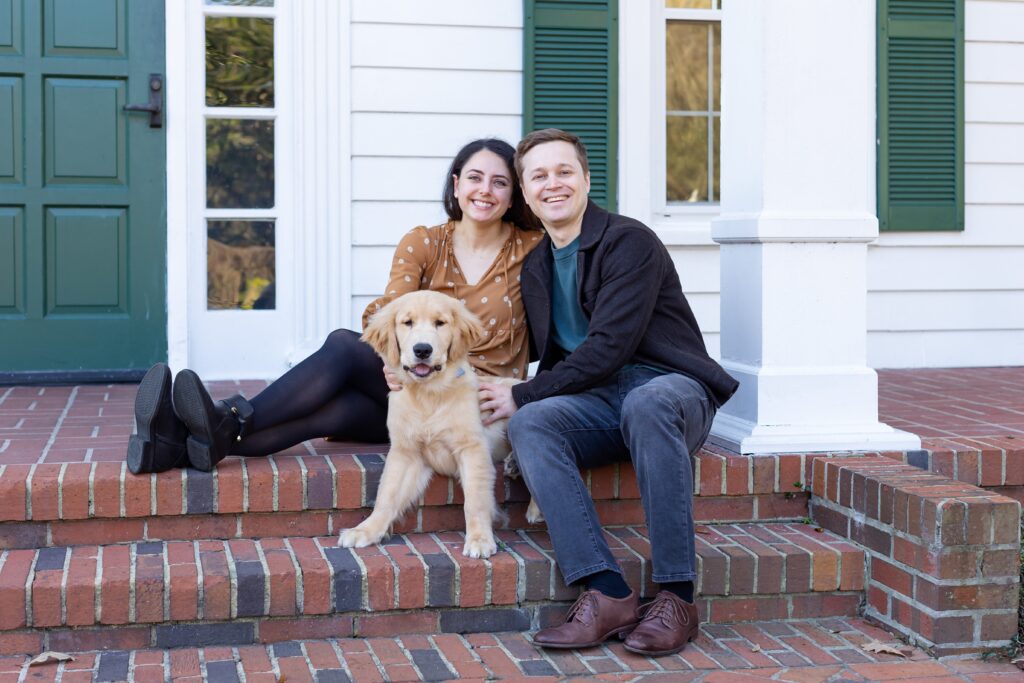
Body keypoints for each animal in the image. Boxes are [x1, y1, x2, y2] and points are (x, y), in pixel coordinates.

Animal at [337, 290, 520, 557]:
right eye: (407, 322)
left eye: (440, 323)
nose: (422, 349)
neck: (429, 395)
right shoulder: (406, 452)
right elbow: (386, 494)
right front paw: (366, 530)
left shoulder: (472, 448)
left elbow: (475, 500)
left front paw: (479, 539)